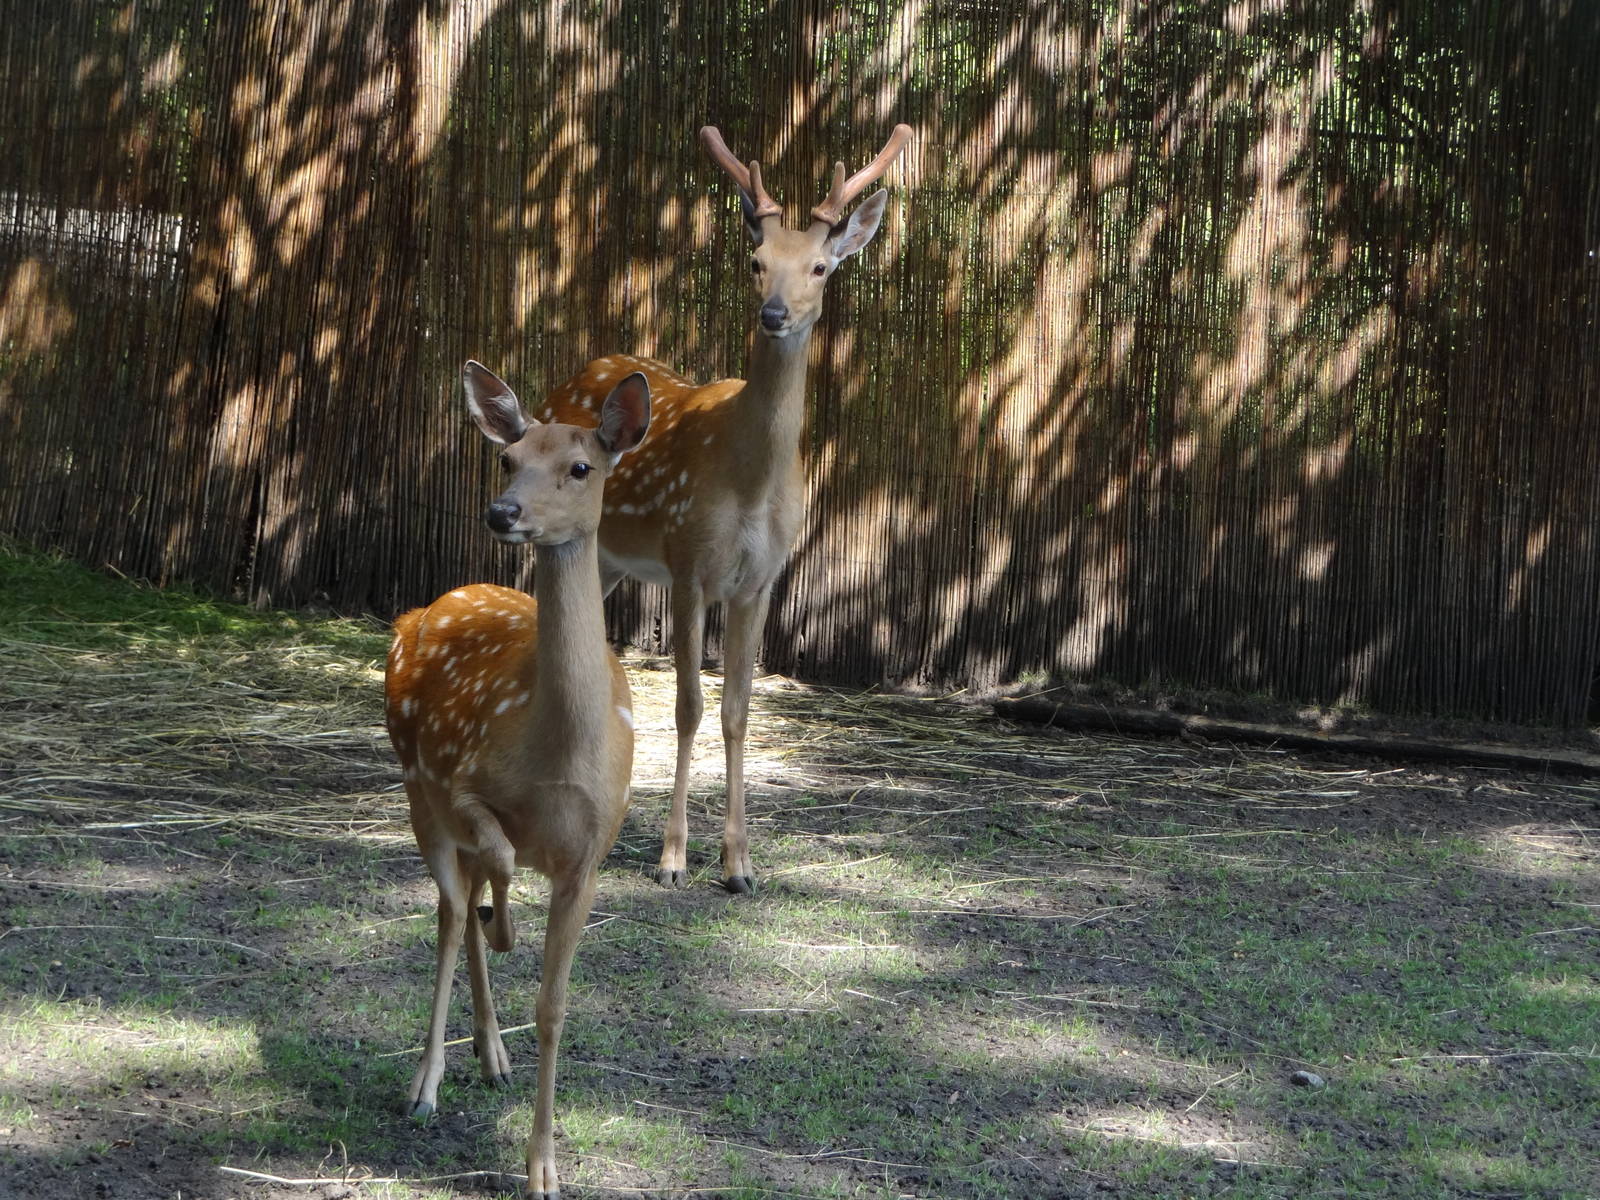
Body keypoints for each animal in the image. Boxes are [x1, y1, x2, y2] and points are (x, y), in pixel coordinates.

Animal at [384, 360, 650, 1200]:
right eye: (508, 458)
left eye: (581, 466)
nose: (503, 512)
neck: (557, 755)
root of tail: (423, 609)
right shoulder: (465, 784)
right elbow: (496, 861)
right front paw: (507, 927)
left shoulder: (592, 854)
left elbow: (555, 1006)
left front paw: (542, 1168)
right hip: (417, 786)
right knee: (446, 911)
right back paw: (426, 1085)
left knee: (459, 901)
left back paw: (492, 1052)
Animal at [526, 123, 912, 894]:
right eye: (756, 261)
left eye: (821, 266)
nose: (775, 314)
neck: (751, 481)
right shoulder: (688, 565)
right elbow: (688, 707)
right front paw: (673, 858)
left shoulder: (759, 581)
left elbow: (737, 711)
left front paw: (739, 865)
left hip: (609, 559)